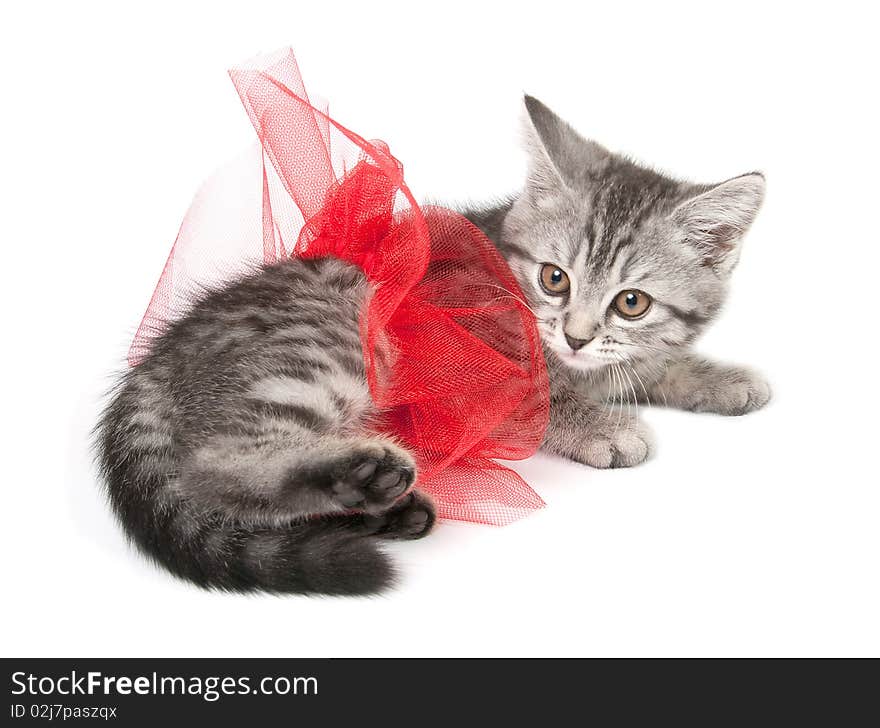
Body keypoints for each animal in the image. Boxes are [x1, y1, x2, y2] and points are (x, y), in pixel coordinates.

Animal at [98, 94, 768, 596]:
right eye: (555, 278)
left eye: (631, 302)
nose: (576, 336)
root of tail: (153, 363)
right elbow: (540, 398)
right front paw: (601, 424)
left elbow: (651, 362)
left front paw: (721, 378)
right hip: (333, 345)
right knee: (213, 466)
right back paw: (368, 474)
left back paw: (382, 502)